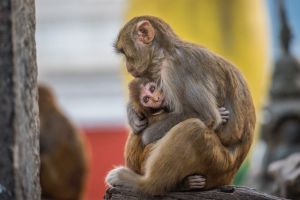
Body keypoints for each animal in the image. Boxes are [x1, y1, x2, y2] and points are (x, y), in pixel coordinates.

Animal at [105, 16, 255, 195]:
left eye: (125, 53)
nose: (128, 66)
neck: (165, 54)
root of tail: (229, 176)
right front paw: (133, 115)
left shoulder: (177, 69)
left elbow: (205, 116)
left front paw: (146, 133)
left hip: (218, 164)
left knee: (192, 129)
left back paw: (144, 184)